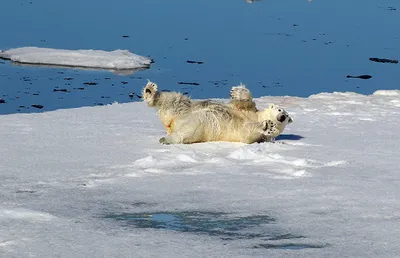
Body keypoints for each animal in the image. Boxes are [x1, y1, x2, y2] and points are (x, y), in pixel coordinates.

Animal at [142, 81, 292, 144]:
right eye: (280, 110)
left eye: (286, 117)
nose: (282, 116)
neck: (257, 117)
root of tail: (170, 124)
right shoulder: (248, 110)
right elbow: (245, 102)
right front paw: (236, 92)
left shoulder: (252, 135)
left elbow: (247, 132)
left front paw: (267, 126)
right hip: (183, 108)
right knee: (174, 100)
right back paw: (150, 91)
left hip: (203, 126)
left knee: (189, 130)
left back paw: (166, 139)